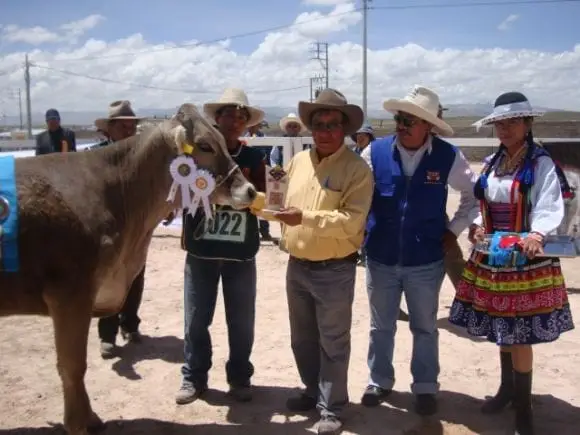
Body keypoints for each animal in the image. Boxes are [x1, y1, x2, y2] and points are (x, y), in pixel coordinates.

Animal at [0, 103, 256, 435]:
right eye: (204, 145)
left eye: (224, 142)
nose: (250, 190)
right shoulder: (70, 293)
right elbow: (72, 365)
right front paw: (81, 423)